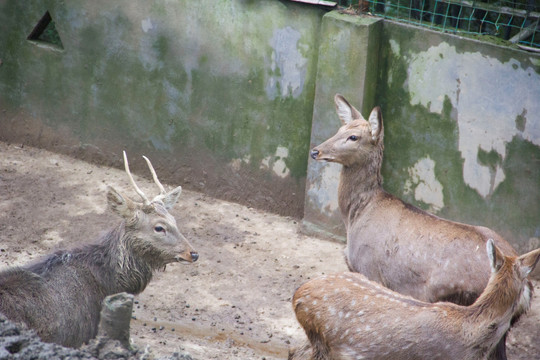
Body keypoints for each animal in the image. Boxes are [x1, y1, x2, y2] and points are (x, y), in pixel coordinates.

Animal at [308, 93, 524, 360]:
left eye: (354, 137)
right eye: (340, 129)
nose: (315, 151)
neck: (357, 214)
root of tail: (527, 289)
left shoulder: (370, 269)